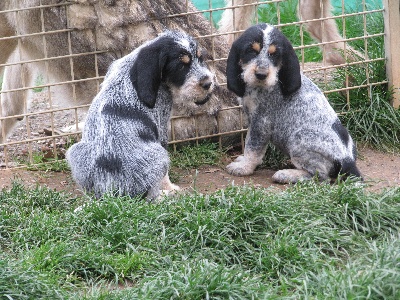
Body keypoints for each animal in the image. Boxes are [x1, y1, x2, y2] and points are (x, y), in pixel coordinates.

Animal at [66, 30, 216, 200]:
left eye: (200, 58)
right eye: (180, 66)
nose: (208, 83)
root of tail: (111, 192)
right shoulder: (161, 126)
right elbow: (165, 176)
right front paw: (171, 188)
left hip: (74, 151)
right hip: (159, 155)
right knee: (150, 197)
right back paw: (165, 195)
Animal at [225, 23, 362, 183]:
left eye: (274, 54)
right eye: (251, 51)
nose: (261, 75)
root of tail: (347, 161)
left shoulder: (261, 122)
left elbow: (252, 148)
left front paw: (244, 167)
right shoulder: (253, 120)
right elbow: (248, 142)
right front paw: (243, 161)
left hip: (298, 139)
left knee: (321, 176)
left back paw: (287, 174)